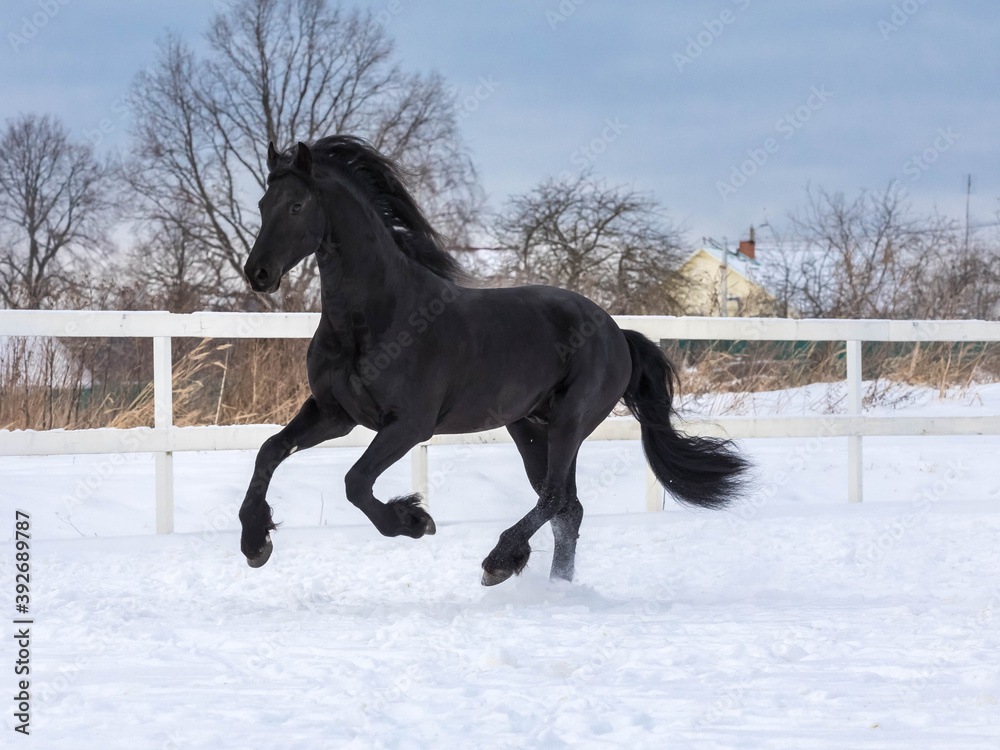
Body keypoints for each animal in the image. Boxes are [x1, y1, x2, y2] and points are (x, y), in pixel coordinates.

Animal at [239, 136, 749, 586]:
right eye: (263, 204)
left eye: (296, 206)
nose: (257, 273)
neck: (379, 317)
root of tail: (615, 331)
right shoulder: (334, 414)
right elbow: (270, 451)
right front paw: (255, 542)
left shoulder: (409, 425)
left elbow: (356, 481)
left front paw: (414, 521)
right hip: (530, 428)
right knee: (568, 508)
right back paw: (553, 586)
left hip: (570, 422)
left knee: (555, 498)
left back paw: (499, 562)